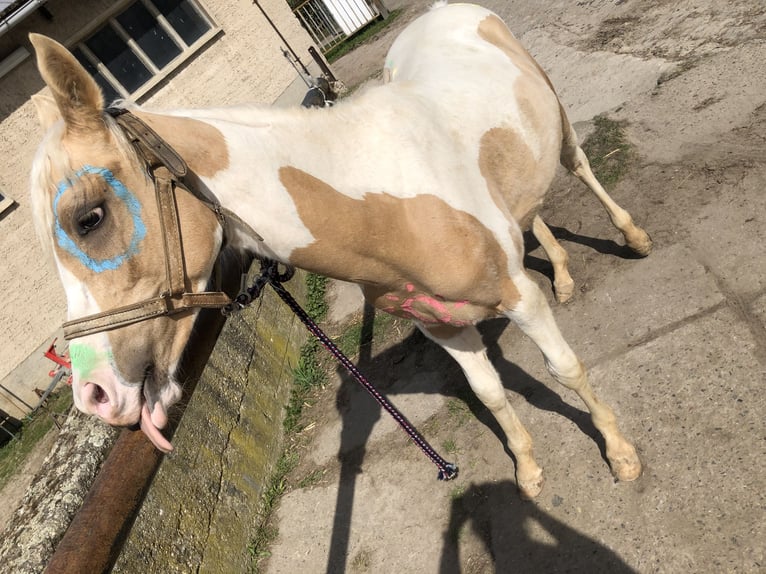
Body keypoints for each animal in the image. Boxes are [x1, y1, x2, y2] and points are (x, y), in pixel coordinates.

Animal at [31, 2, 656, 500]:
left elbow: (565, 369)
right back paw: (564, 276)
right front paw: (528, 471)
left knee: (581, 167)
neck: (387, 204)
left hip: (560, 123)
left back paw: (632, 238)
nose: (94, 394)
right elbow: (492, 395)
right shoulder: (442, 324)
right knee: (531, 212)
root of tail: (447, 11)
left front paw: (620, 453)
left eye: (89, 218)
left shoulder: (520, 301)